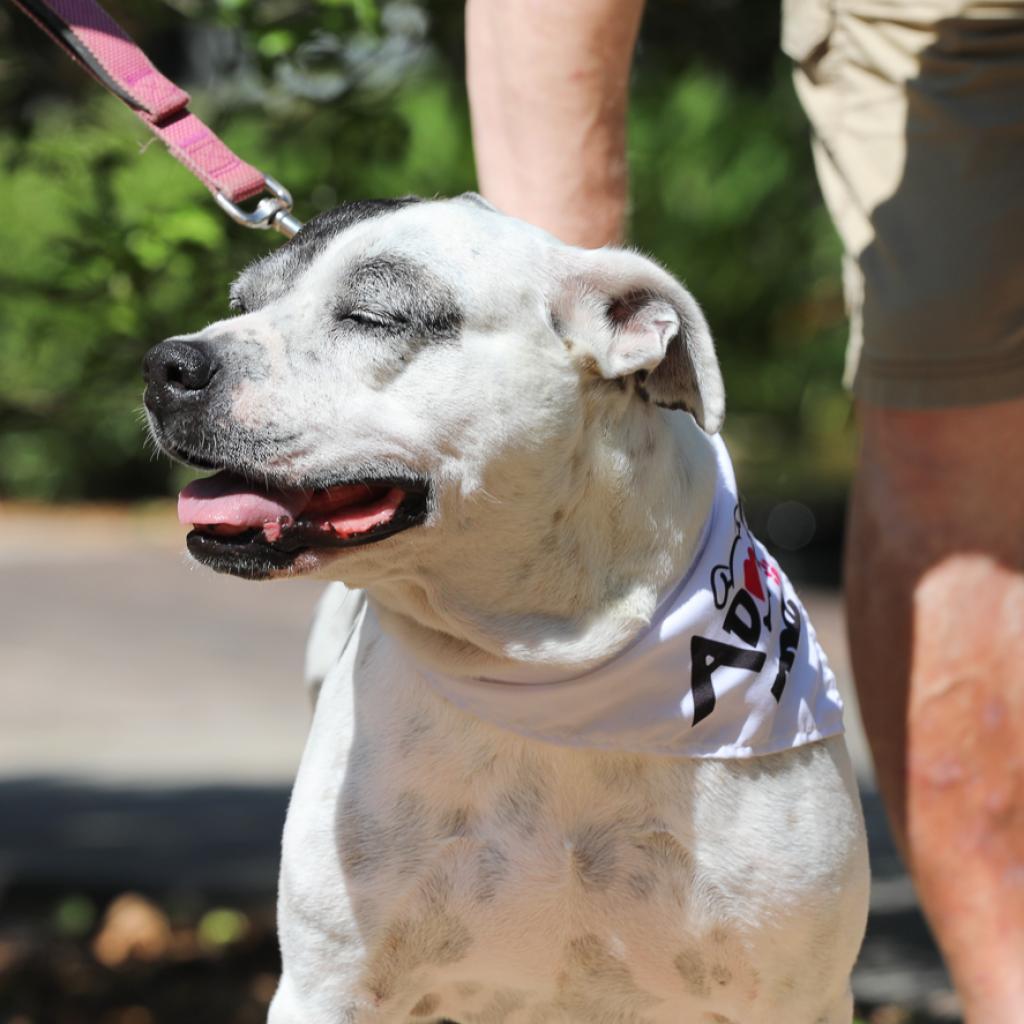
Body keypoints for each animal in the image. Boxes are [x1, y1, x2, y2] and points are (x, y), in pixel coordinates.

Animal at [142, 195, 864, 1024]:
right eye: (241, 306)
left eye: (371, 316)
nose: (167, 365)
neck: (549, 671)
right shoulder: (326, 990)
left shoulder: (799, 996)